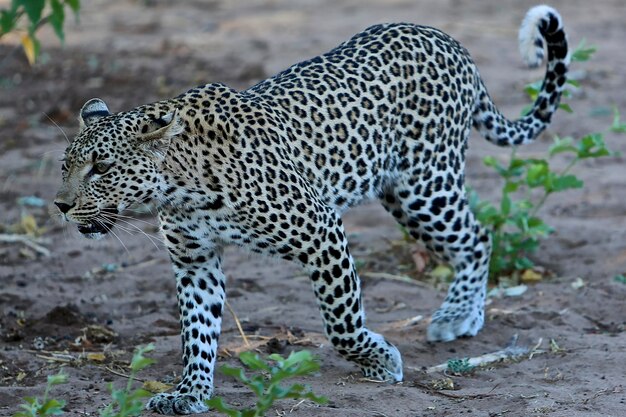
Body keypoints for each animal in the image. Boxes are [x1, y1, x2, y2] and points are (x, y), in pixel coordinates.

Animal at [56, 4, 568, 414]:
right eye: (66, 166)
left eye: (101, 168)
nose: (61, 205)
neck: (180, 185)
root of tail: (448, 39)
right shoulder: (194, 260)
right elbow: (196, 332)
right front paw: (190, 392)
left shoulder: (322, 232)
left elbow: (341, 322)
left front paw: (380, 361)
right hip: (403, 193)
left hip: (424, 186)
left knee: (478, 235)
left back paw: (458, 315)